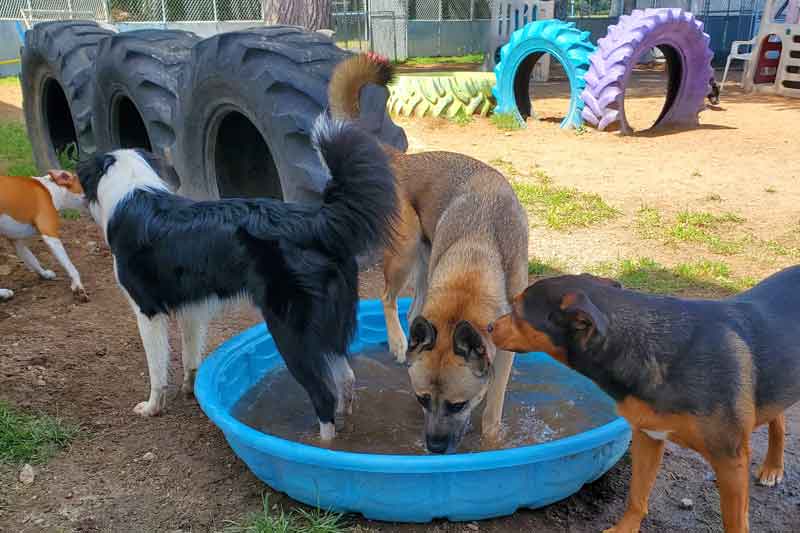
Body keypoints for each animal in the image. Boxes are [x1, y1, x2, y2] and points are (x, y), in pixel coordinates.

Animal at [0, 172, 89, 302]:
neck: (52, 189)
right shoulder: (51, 236)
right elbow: (71, 267)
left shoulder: (16, 241)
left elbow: (33, 260)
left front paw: (44, 274)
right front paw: (78, 286)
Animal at [78, 117, 396, 440]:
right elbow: (190, 355)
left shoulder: (148, 311)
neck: (131, 191)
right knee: (346, 378)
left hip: (290, 332)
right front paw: (190, 388)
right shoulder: (192, 309)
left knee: (324, 395)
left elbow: (157, 369)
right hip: (327, 329)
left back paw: (319, 444)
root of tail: (317, 221)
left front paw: (152, 407)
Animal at [328, 55, 528, 454]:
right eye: (422, 400)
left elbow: (493, 406)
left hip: (423, 263)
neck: (476, 258)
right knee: (388, 298)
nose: (434, 448)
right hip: (403, 254)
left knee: (410, 310)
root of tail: (403, 161)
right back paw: (396, 341)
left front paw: (493, 438)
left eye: (457, 405)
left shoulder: (505, 351)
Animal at [488, 270, 800, 532]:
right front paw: (623, 529)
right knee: (778, 416)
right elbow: (636, 496)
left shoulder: (730, 461)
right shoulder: (647, 437)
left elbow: (734, 523)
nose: (489, 326)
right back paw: (773, 466)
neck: (654, 348)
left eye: (517, 310)